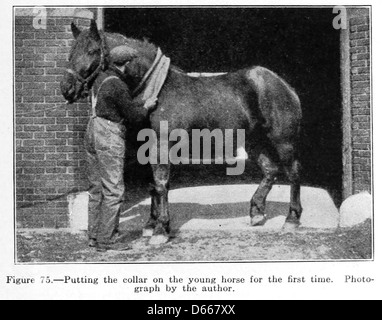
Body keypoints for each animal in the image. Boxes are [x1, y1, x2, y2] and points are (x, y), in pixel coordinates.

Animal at [61, 20, 302, 245]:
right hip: (254, 142)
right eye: (71, 52)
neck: (157, 89)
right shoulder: (146, 149)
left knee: (292, 172)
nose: (67, 89)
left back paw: (291, 219)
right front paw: (150, 225)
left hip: (283, 141)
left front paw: (160, 230)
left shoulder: (161, 146)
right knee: (270, 171)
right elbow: (152, 185)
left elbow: (161, 184)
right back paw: (256, 213)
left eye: (92, 50)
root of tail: (283, 85)